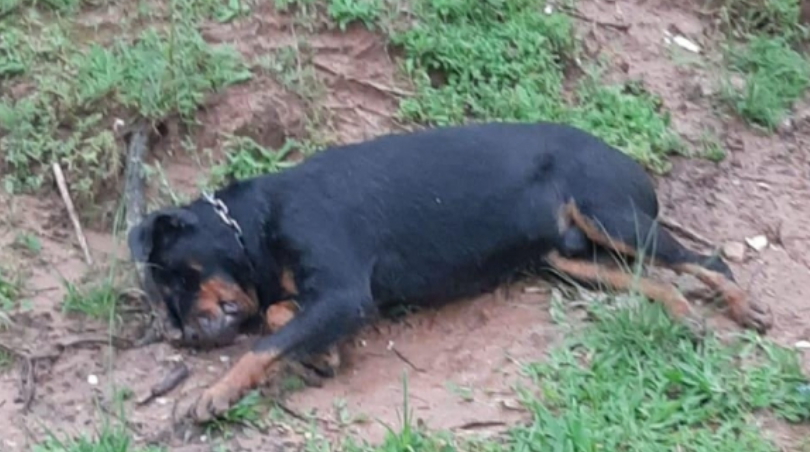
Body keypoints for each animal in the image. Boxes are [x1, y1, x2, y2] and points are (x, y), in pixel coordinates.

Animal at [126, 122, 772, 422]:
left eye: (177, 277)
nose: (183, 336)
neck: (257, 223)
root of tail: (630, 162)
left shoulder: (345, 293)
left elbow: (262, 344)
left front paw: (210, 394)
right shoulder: (329, 301)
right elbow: (283, 318)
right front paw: (319, 355)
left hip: (613, 218)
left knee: (706, 260)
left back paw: (743, 307)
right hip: (567, 259)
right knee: (653, 281)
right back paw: (685, 316)